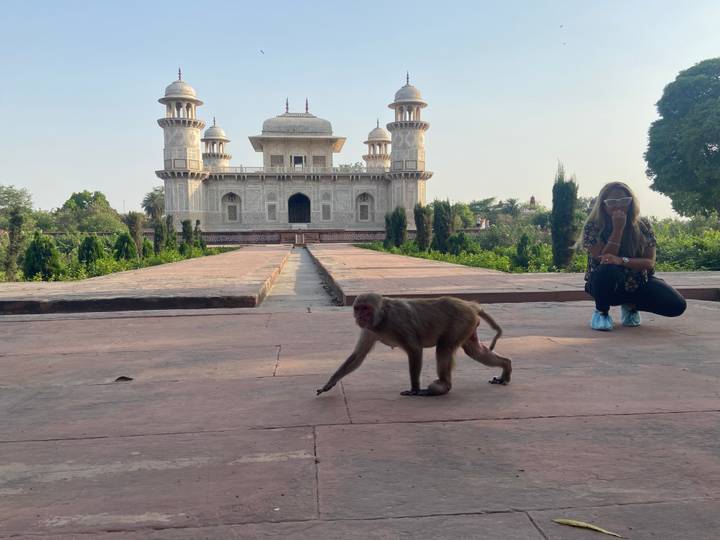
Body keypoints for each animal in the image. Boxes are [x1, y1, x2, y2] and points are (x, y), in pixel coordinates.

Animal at [316, 293, 512, 397]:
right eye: (358, 308)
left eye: (366, 309)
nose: (360, 317)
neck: (382, 319)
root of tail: (470, 305)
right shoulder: (369, 330)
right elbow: (358, 355)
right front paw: (330, 382)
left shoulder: (397, 323)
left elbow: (415, 349)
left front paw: (414, 389)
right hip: (468, 324)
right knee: (474, 351)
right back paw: (506, 366)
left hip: (461, 320)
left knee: (444, 348)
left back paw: (443, 386)